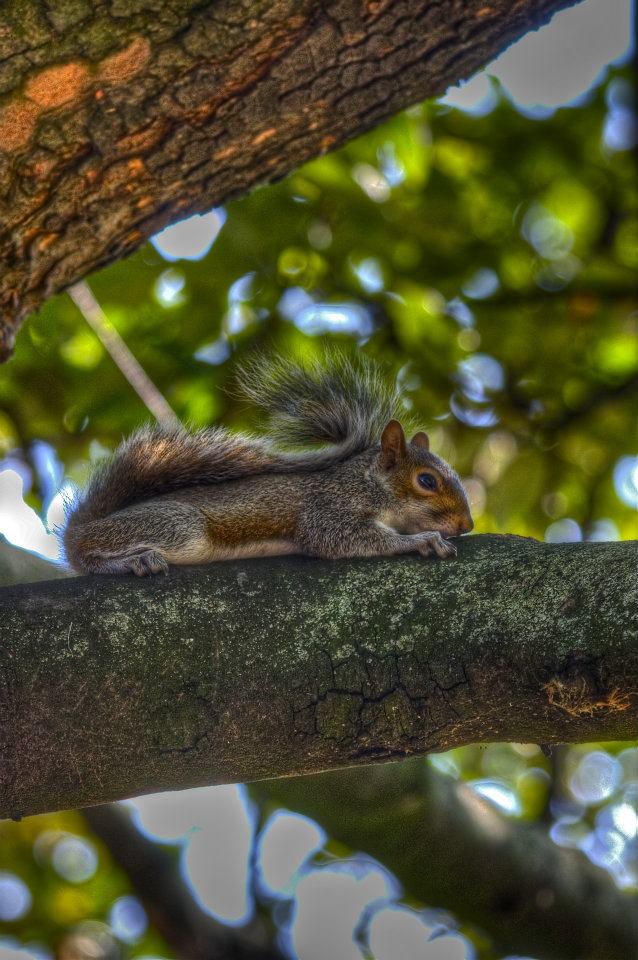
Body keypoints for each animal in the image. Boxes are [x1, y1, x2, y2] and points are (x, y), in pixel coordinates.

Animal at [63, 352, 476, 576]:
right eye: (426, 481)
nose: (467, 525)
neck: (367, 483)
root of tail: (78, 527)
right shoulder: (328, 509)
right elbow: (338, 537)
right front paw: (421, 540)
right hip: (177, 526)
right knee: (88, 553)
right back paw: (132, 562)